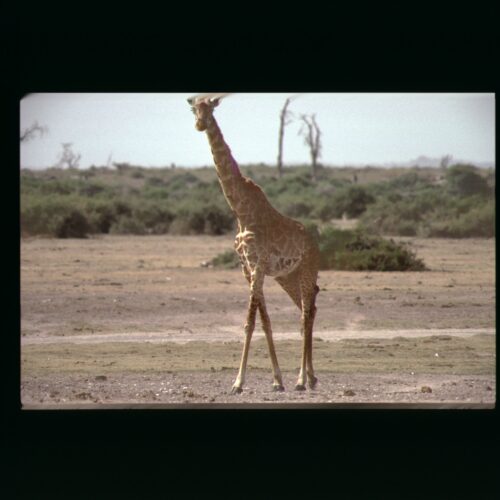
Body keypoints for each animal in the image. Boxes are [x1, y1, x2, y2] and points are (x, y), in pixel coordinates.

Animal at [188, 94, 320, 394]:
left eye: (211, 105)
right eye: (193, 107)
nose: (200, 124)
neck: (240, 211)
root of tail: (315, 242)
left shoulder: (258, 264)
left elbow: (249, 321)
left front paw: (238, 383)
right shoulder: (247, 268)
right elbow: (264, 320)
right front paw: (276, 380)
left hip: (307, 271)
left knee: (306, 314)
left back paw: (301, 380)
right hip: (287, 276)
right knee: (308, 310)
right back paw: (311, 378)